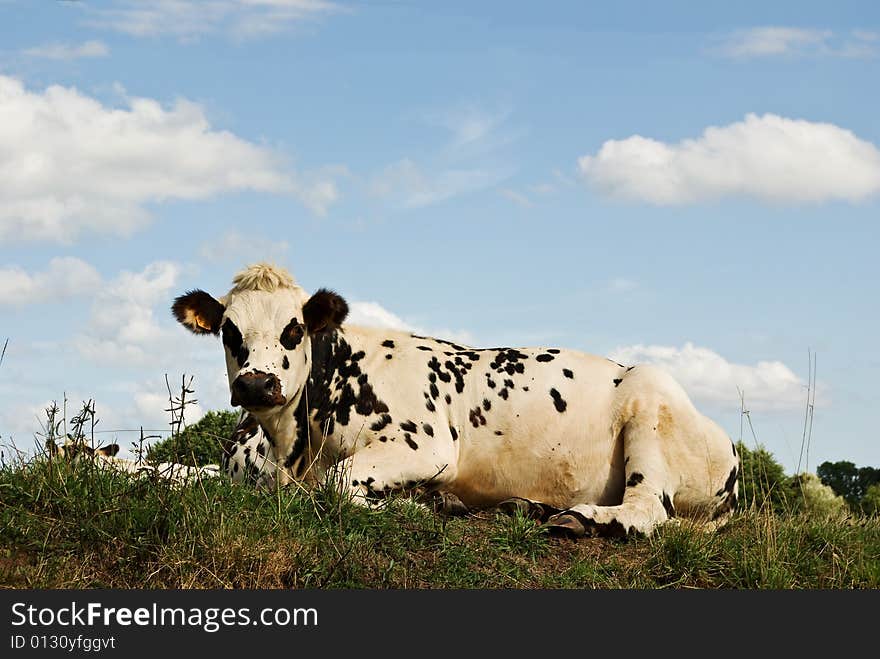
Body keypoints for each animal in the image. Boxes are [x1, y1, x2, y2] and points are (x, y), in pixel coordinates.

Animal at [170, 262, 736, 536]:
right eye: (228, 331)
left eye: (293, 330)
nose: (256, 384)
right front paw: (428, 503)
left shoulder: (426, 445)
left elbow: (340, 484)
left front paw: (417, 507)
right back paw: (521, 507)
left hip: (650, 410)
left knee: (648, 508)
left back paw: (583, 519)